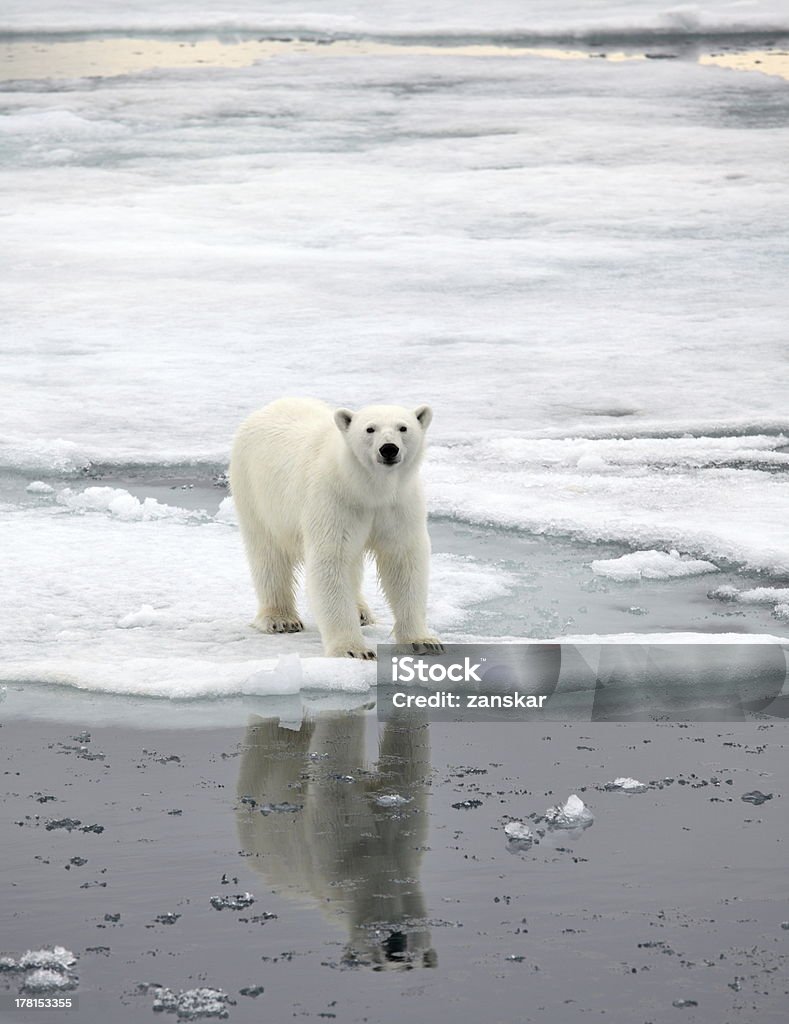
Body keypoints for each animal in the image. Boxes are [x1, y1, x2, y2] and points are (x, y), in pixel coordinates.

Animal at [227, 395, 444, 659]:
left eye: (403, 427)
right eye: (370, 429)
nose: (389, 448)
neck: (366, 488)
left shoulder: (398, 505)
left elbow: (403, 561)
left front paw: (423, 641)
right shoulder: (334, 500)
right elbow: (331, 560)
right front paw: (352, 650)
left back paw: (360, 611)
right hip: (255, 492)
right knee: (268, 553)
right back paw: (281, 618)